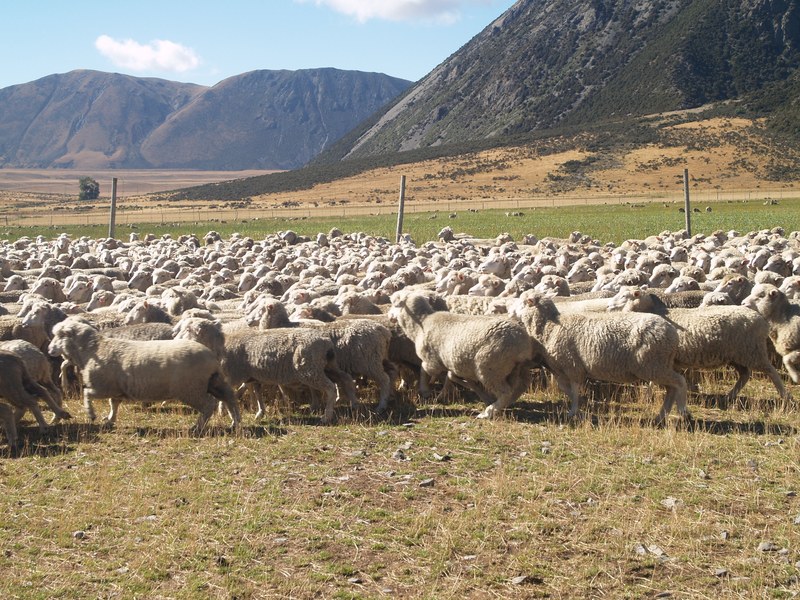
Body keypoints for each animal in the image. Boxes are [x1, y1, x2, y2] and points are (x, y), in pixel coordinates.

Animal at [47, 318, 240, 432]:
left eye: (59, 336)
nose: (49, 350)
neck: (91, 349)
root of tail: (211, 357)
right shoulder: (116, 389)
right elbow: (113, 404)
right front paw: (109, 419)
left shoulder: (102, 386)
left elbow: (87, 394)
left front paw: (91, 414)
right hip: (213, 382)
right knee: (229, 398)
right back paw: (235, 422)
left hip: (191, 389)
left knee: (209, 405)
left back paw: (197, 427)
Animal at [388, 292, 540, 419]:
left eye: (395, 303)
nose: (389, 316)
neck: (422, 323)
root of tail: (521, 342)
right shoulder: (458, 364)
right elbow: (453, 378)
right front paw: (483, 396)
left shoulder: (432, 361)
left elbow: (424, 371)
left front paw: (425, 390)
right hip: (516, 368)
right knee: (520, 386)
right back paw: (503, 403)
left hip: (489, 367)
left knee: (505, 392)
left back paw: (488, 412)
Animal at [510, 292, 688, 425]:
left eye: (523, 301)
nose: (510, 312)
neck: (549, 326)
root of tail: (672, 333)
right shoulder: (562, 368)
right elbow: (565, 389)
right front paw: (580, 405)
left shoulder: (572, 365)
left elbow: (574, 390)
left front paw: (574, 411)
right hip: (658, 365)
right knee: (671, 389)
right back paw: (661, 416)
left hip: (652, 365)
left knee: (680, 382)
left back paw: (683, 412)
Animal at [608, 286, 788, 404]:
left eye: (624, 296)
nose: (608, 306)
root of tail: (760, 319)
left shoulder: (657, 357)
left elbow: (653, 379)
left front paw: (648, 396)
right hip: (737, 354)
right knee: (745, 375)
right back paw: (729, 396)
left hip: (752, 350)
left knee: (771, 371)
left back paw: (785, 396)